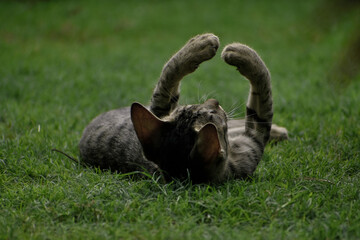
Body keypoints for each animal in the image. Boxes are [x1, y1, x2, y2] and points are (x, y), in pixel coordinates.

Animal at [79, 33, 286, 184]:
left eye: (193, 106)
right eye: (213, 114)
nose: (214, 101)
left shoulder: (161, 112)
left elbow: (168, 76)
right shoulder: (252, 144)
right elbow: (262, 88)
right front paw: (239, 53)